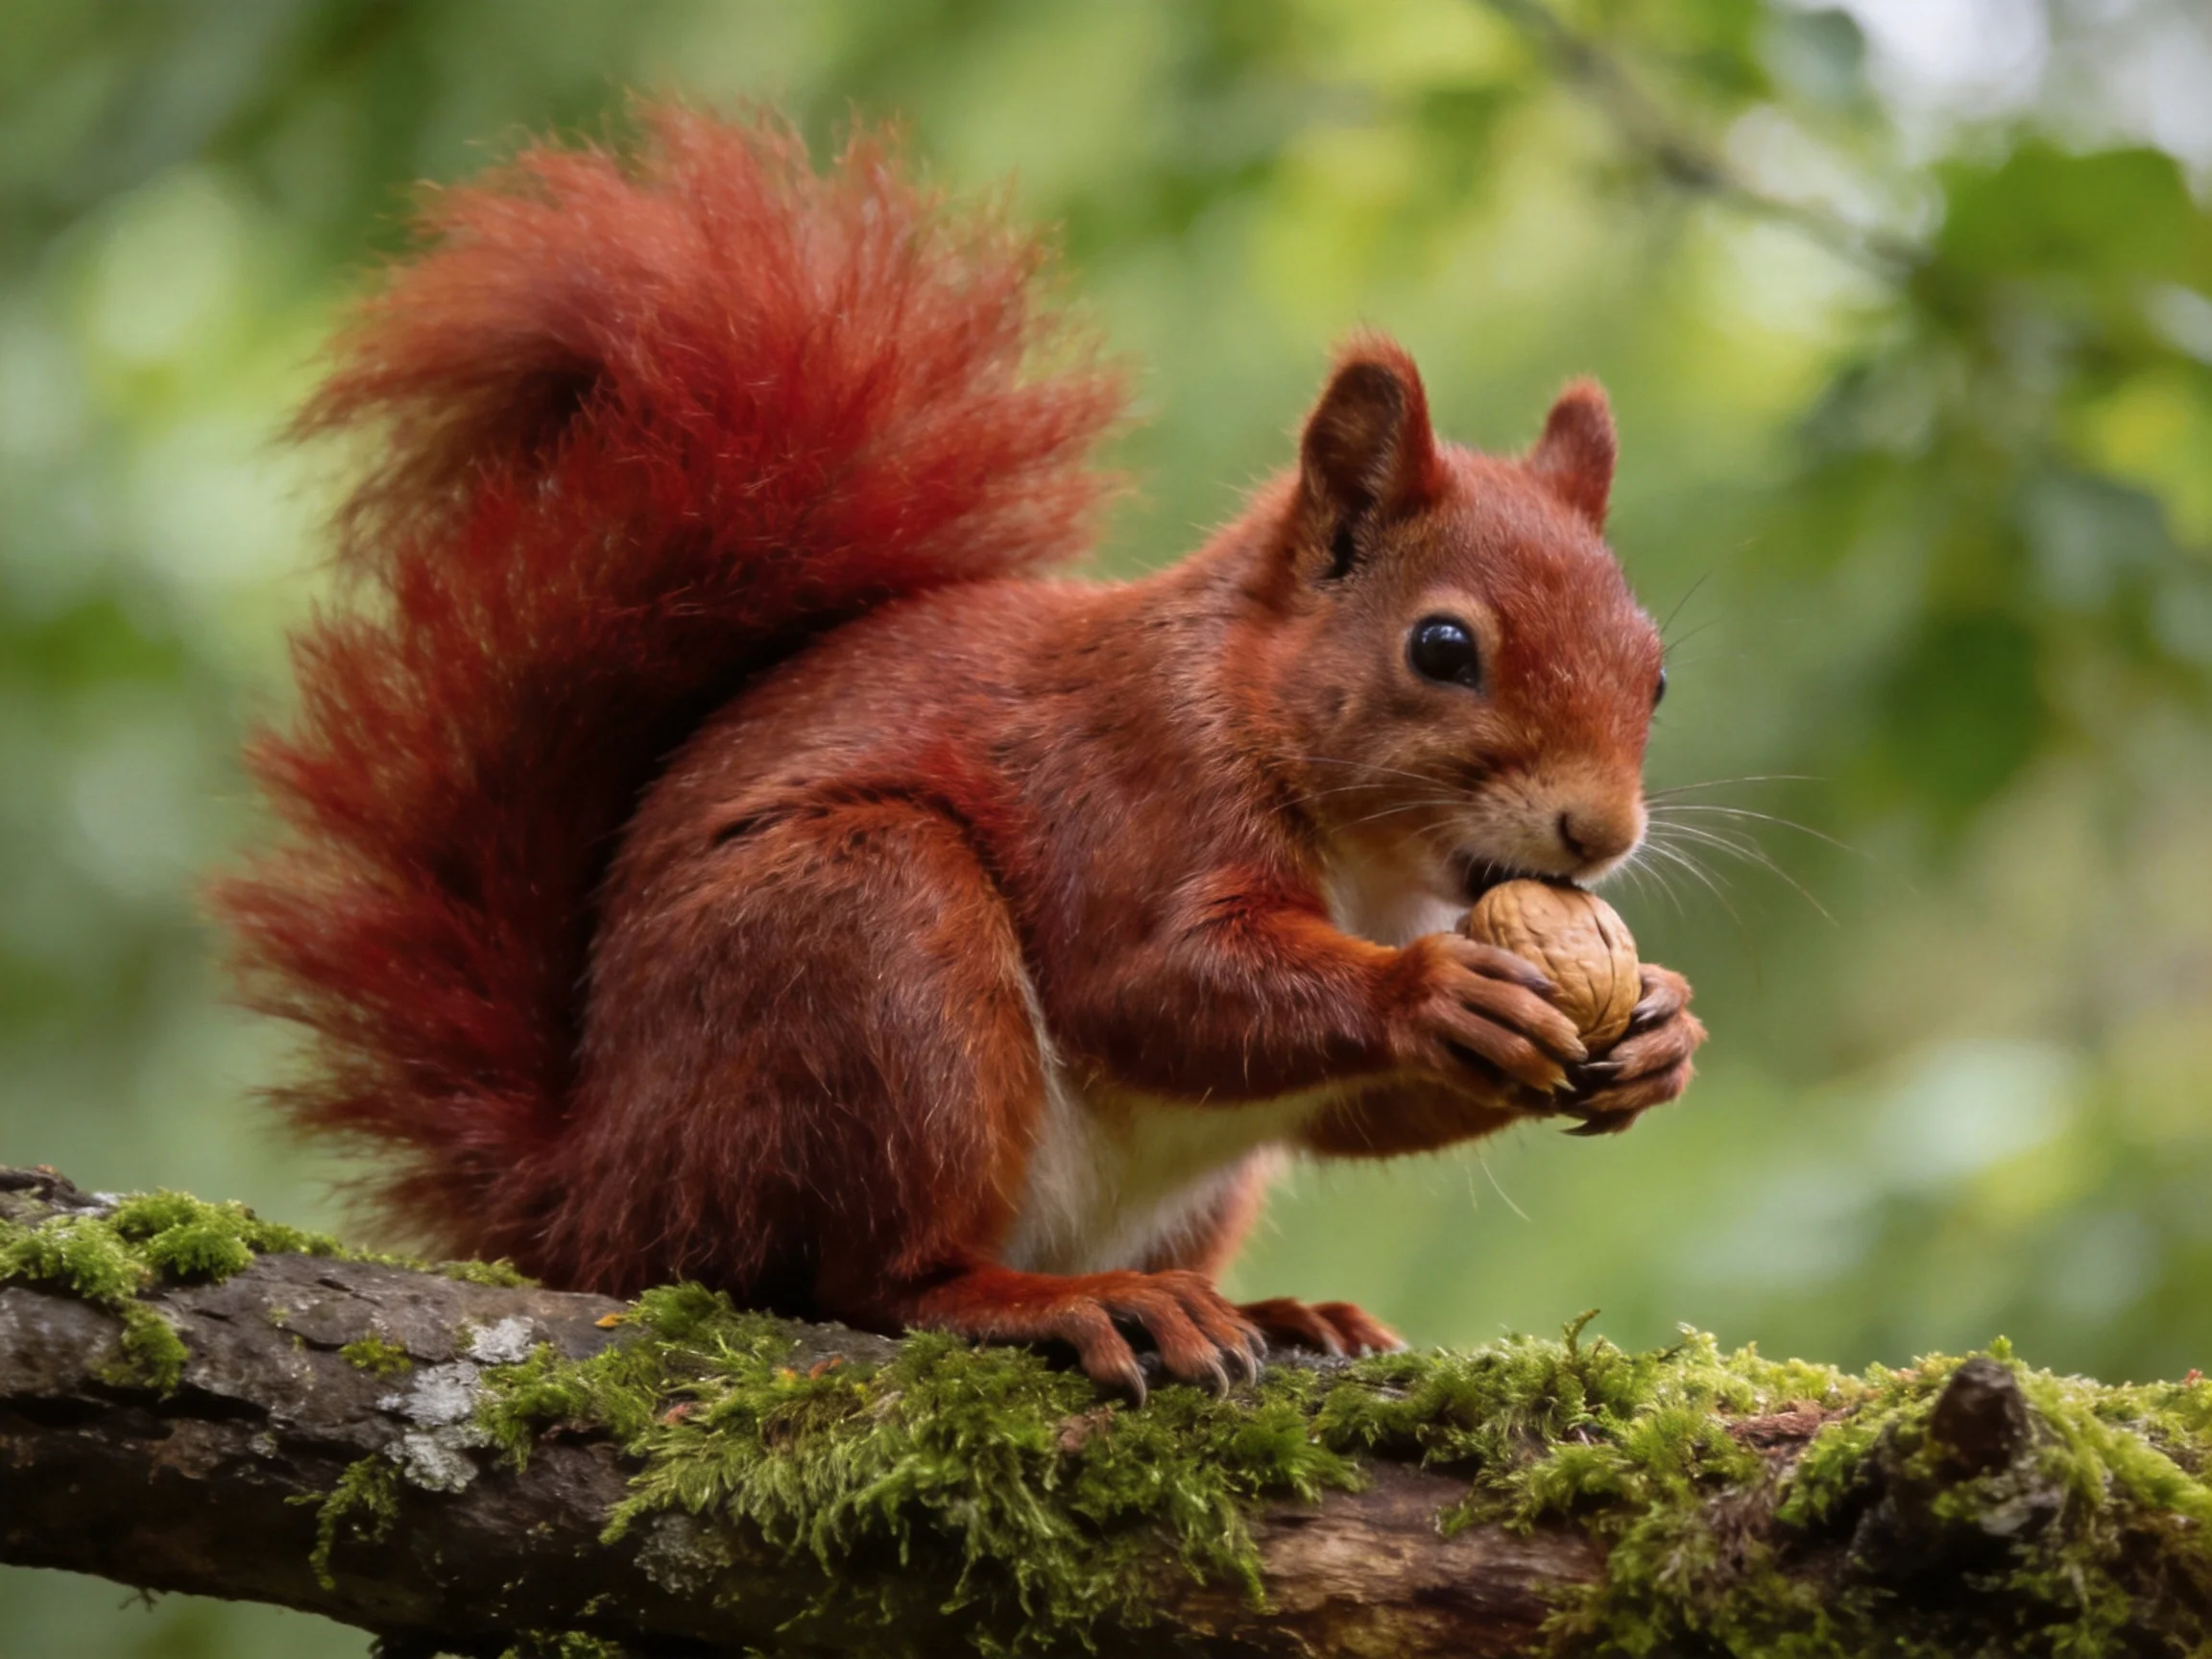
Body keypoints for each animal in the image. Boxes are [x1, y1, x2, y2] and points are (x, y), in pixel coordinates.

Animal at [221, 107, 1705, 1399]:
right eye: (1442, 648)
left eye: (1657, 672)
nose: (1601, 834)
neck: (1370, 859)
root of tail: (588, 1200)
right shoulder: (1133, 786)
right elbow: (1156, 982)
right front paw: (1437, 991)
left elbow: (1339, 1113)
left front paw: (1662, 1028)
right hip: (869, 945)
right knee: (870, 1279)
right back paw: (1057, 1303)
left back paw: (1284, 1313)